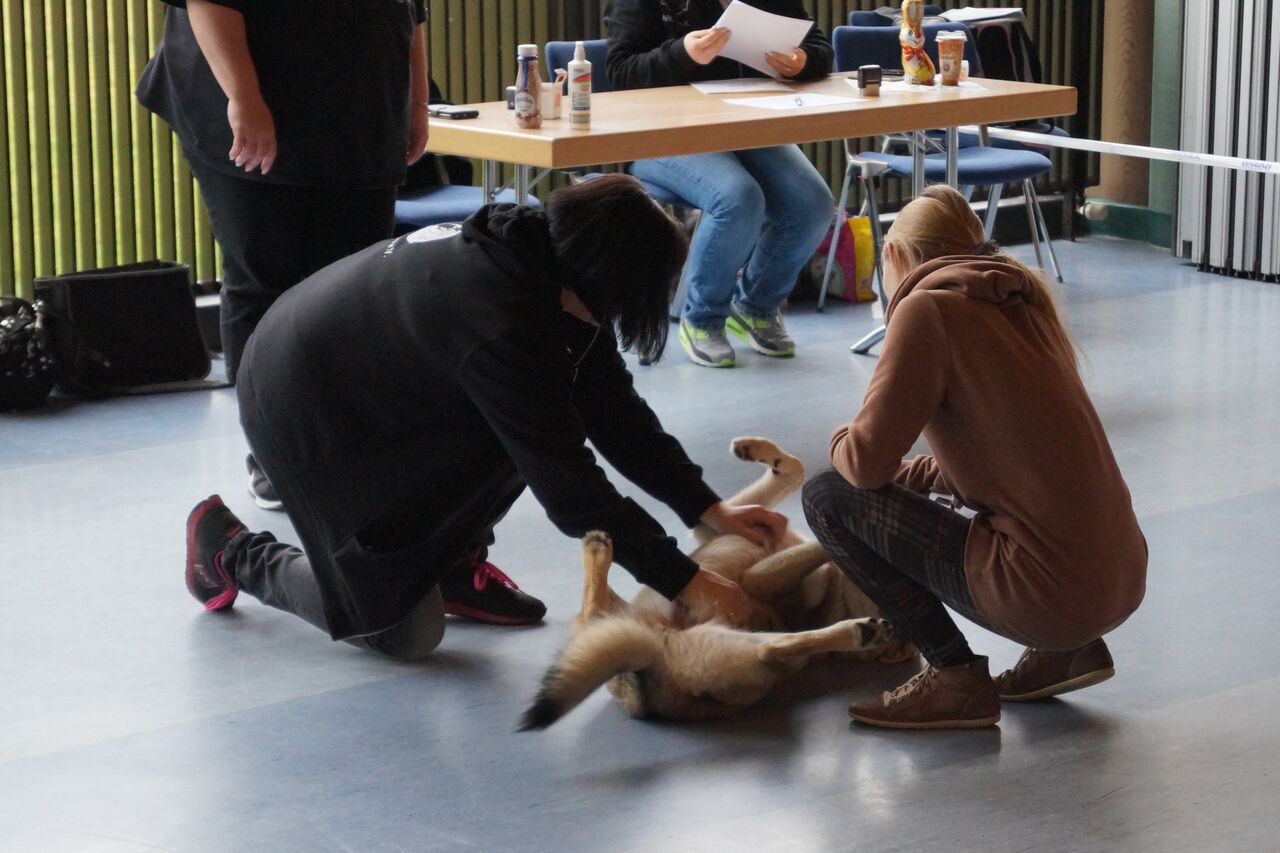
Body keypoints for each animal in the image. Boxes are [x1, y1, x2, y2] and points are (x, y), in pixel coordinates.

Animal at [514, 435, 916, 727]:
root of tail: (642, 692)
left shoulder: (758, 578)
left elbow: (818, 533)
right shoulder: (722, 529)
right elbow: (790, 474)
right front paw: (756, 451)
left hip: (737, 645)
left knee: (773, 647)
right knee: (588, 611)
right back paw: (597, 549)